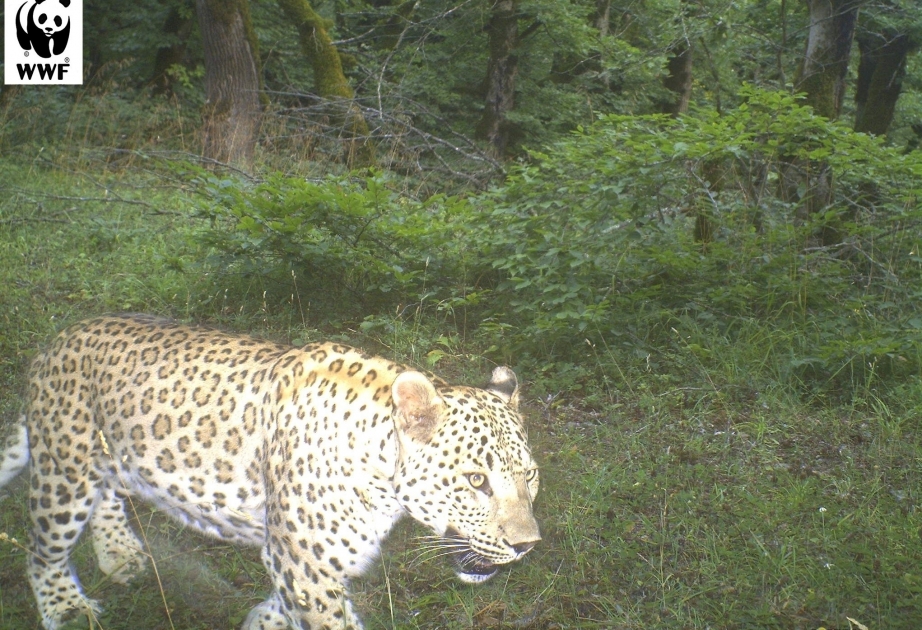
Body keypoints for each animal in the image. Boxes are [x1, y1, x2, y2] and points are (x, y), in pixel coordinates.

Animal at [0, 314, 540, 630]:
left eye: (530, 476)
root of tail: (58, 340)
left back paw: (120, 554)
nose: (527, 546)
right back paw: (67, 608)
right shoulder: (306, 562)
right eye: (476, 480)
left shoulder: (307, 560)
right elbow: (329, 619)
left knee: (108, 494)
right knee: (43, 549)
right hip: (64, 471)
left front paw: (262, 620)